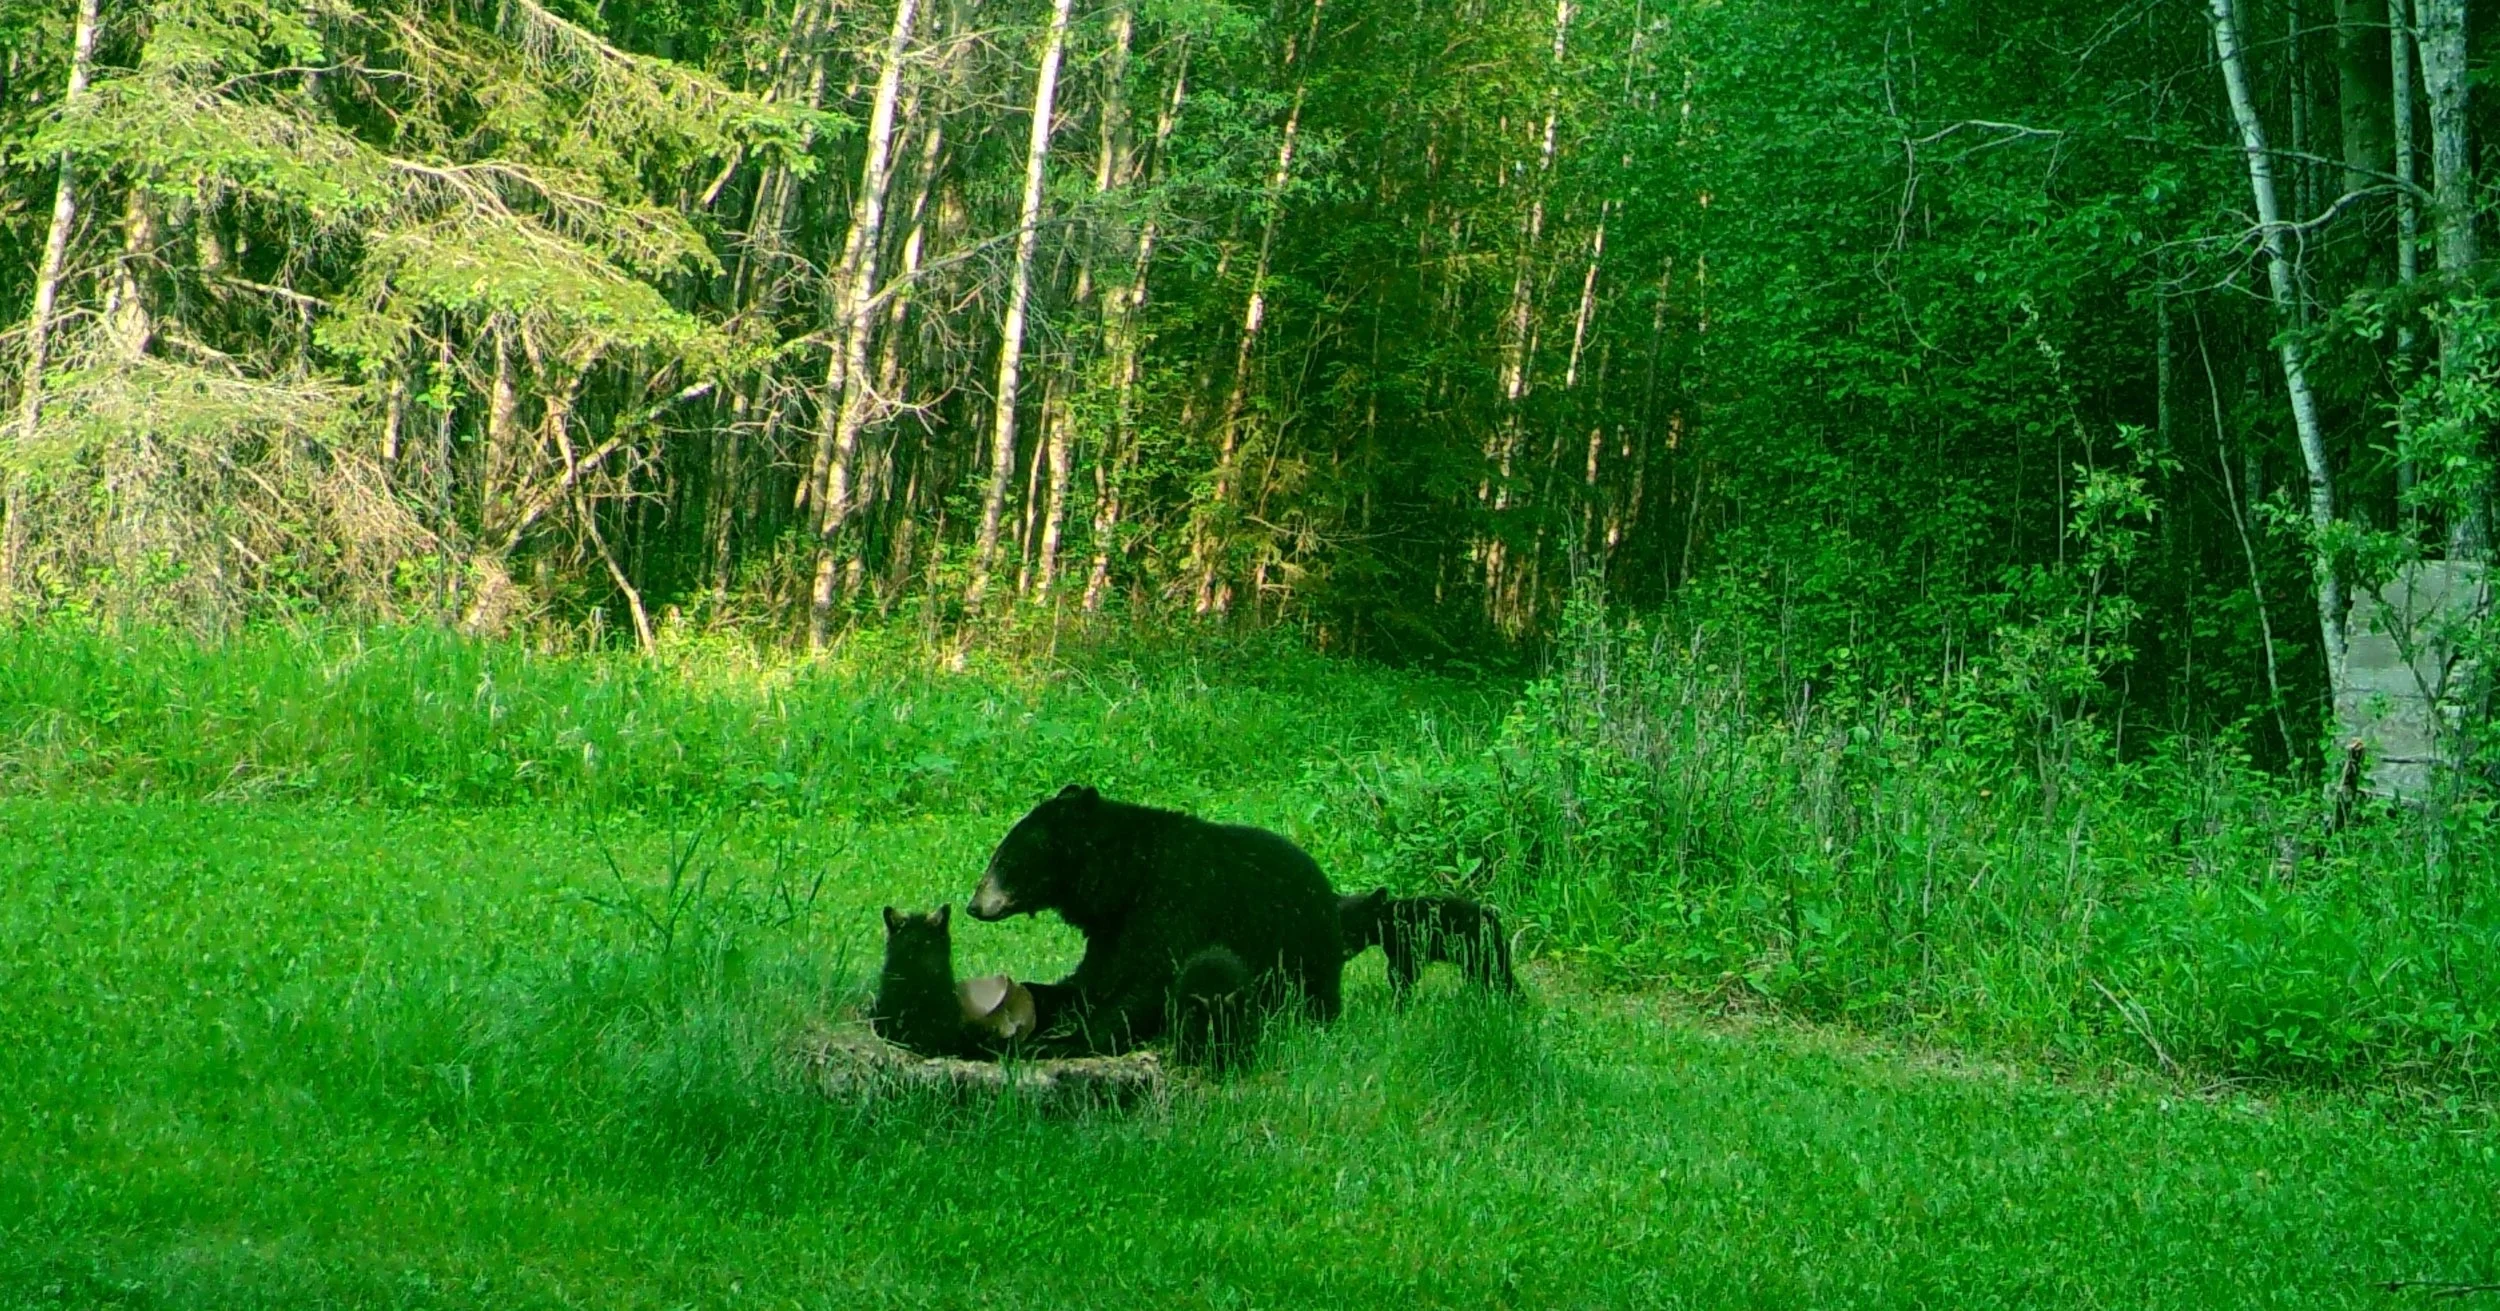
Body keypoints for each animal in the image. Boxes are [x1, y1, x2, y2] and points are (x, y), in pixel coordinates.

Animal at [964, 784, 1343, 1063]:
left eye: (1004, 860)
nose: (973, 906)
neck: (1131, 879)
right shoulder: (1110, 931)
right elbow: (1089, 982)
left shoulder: (1178, 904)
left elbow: (1152, 982)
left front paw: (1057, 1043)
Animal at [1338, 889, 1518, 1001]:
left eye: (1353, 931)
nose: (1343, 953)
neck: (1387, 921)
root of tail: (1491, 916)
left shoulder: (1407, 950)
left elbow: (1400, 975)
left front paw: (1399, 1003)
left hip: (1478, 952)